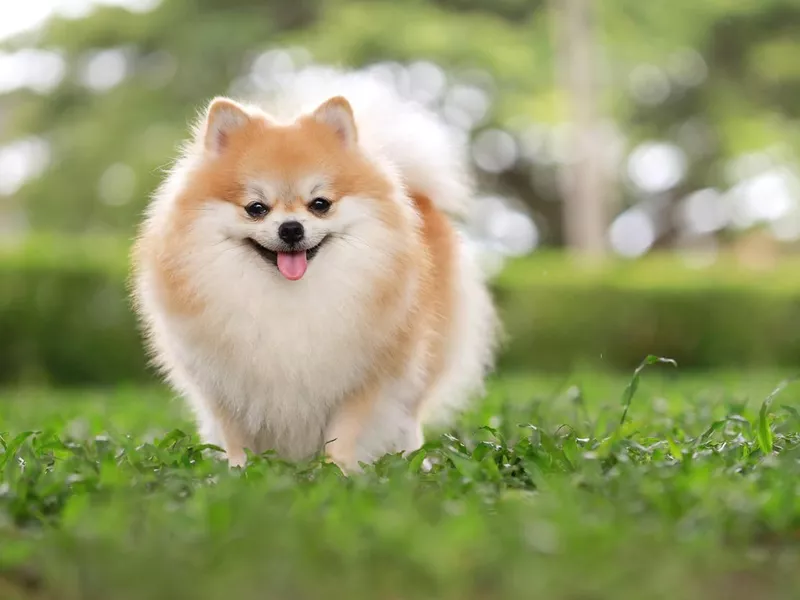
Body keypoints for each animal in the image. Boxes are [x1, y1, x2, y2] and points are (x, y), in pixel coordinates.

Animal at [133, 70, 494, 472]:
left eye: (320, 204)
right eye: (256, 208)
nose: (291, 228)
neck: (290, 299)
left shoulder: (363, 378)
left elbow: (346, 432)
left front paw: (338, 471)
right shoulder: (224, 384)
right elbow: (236, 437)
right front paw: (238, 472)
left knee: (409, 416)